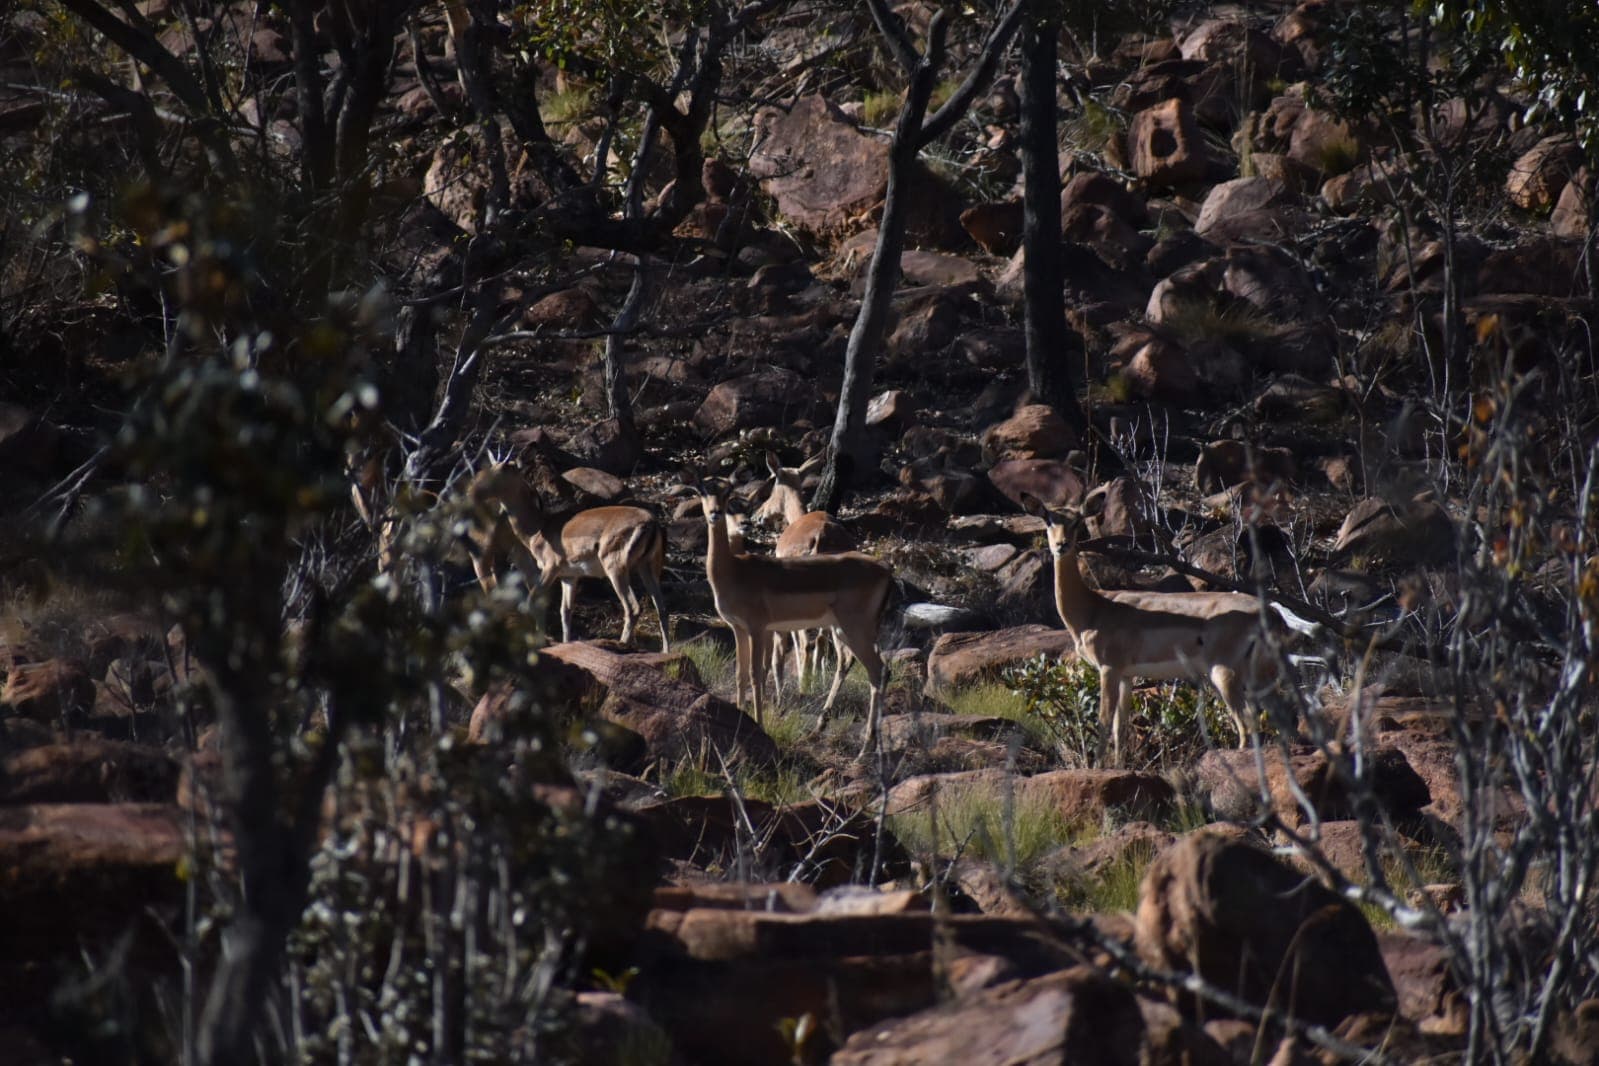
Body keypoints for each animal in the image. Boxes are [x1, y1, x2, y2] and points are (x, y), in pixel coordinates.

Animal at [469, 463, 670, 651]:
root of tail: (651, 524)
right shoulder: (569, 576)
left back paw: (621, 645)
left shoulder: (551, 567)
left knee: (633, 608)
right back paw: (665, 651)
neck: (538, 529)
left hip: (616, 568)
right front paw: (565, 643)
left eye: (494, 474)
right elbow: (565, 611)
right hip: (648, 567)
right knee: (662, 609)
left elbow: (534, 600)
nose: (471, 492)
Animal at [753, 452, 859, 691]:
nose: (758, 515)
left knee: (805, 641)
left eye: (772, 484)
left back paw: (803, 685)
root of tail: (820, 538)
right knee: (823, 641)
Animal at [1020, 490, 1287, 766]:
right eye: (1048, 519)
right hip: (1259, 677)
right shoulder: (1126, 676)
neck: (1094, 608)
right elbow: (1120, 727)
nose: (1061, 545)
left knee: (1246, 723)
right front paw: (1118, 767)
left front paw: (1096, 767)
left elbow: (1104, 722)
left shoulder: (1109, 669)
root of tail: (1270, 613)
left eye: (1076, 521)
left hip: (1224, 674)